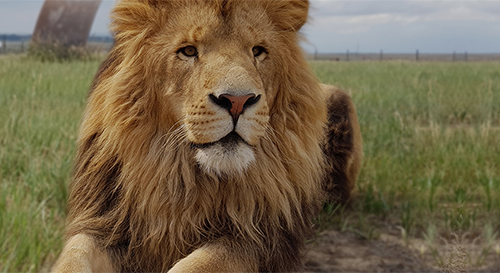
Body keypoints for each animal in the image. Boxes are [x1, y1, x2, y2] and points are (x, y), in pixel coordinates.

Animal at [52, 0, 362, 270]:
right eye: (188, 51)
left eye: (258, 51)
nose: (238, 101)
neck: (181, 176)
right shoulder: (105, 222)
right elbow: (74, 257)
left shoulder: (262, 239)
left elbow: (198, 265)